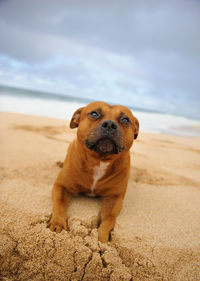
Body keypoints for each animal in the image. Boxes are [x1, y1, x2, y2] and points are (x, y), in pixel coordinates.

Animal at [48, 101, 139, 243]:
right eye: (94, 113)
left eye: (125, 119)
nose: (110, 124)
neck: (99, 160)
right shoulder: (62, 186)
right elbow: (59, 203)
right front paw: (58, 222)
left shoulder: (114, 197)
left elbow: (109, 218)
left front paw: (102, 238)